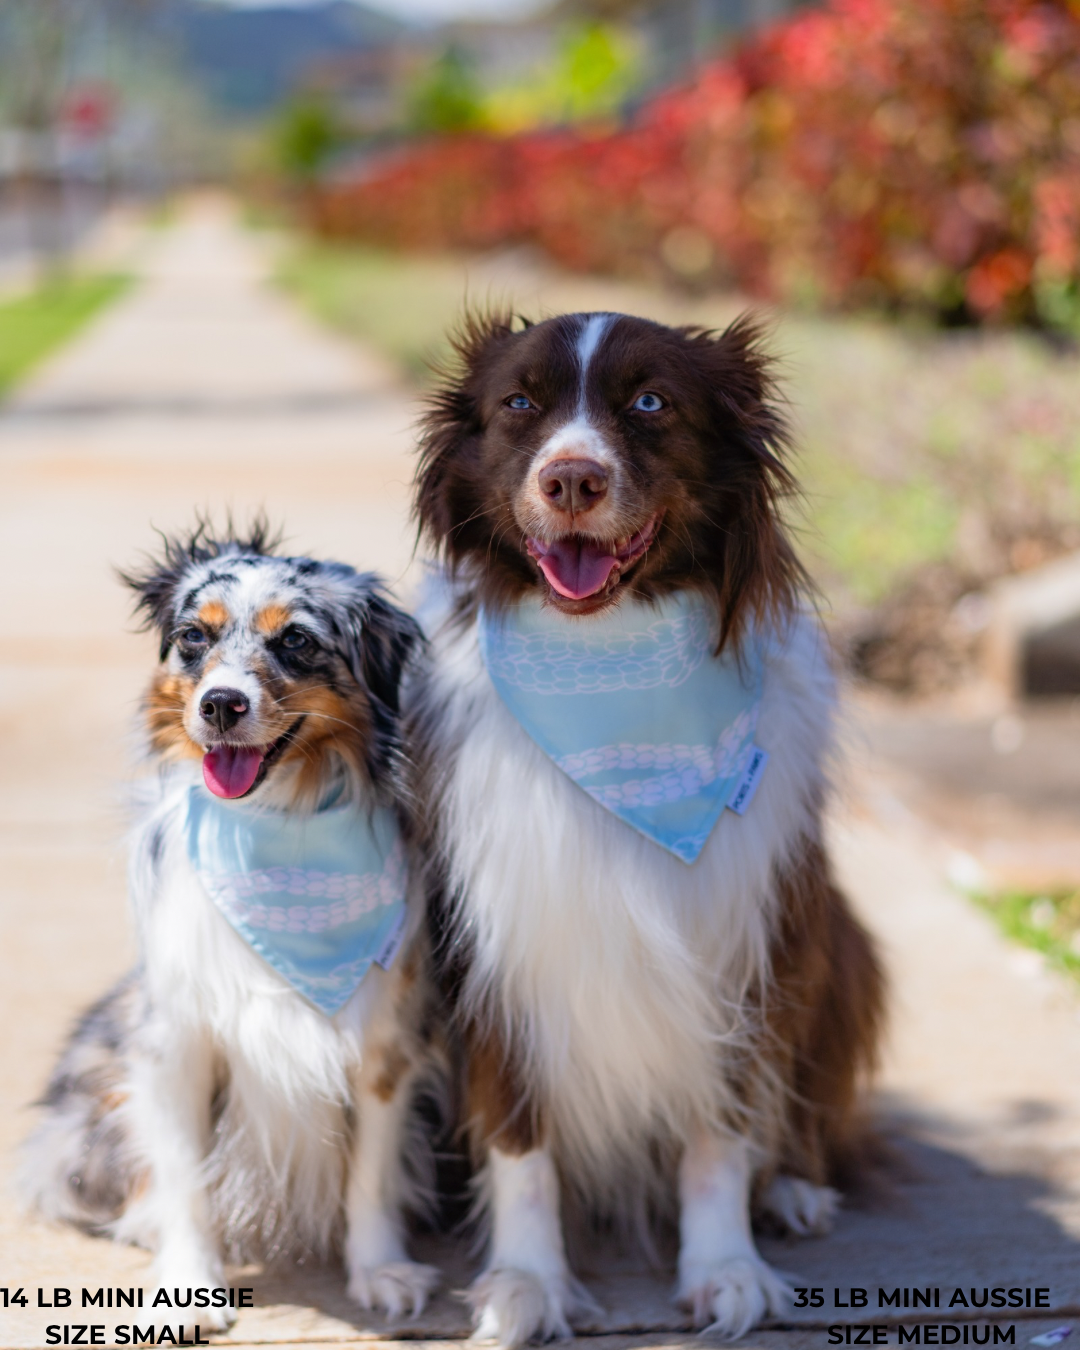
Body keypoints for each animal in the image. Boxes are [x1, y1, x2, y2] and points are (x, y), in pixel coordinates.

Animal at [21, 521, 437, 1333]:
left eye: (297, 641)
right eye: (193, 637)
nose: (220, 705)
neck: (279, 829)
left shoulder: (384, 1041)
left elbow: (370, 1174)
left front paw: (378, 1271)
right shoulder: (173, 1041)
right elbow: (184, 1178)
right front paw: (187, 1280)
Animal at [405, 313, 885, 1339]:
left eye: (652, 402)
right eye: (519, 402)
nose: (571, 480)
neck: (607, 665)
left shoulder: (747, 937)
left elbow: (724, 1125)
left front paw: (725, 1264)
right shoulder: (496, 945)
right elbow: (519, 1138)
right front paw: (528, 1282)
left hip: (840, 942)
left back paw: (792, 1189)